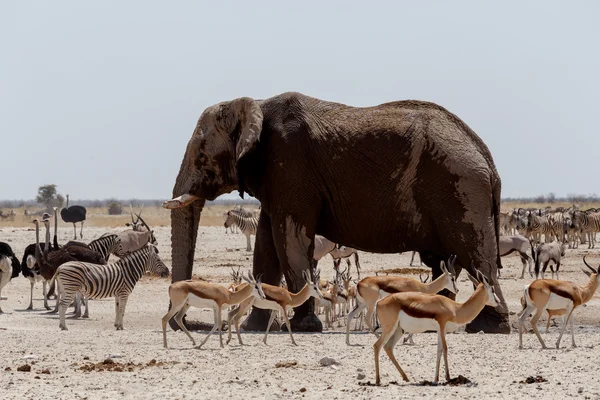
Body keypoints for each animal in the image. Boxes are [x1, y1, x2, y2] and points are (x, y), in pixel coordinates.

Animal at [165, 90, 510, 334]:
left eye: (200, 155)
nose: (185, 322)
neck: (255, 104)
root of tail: (488, 159)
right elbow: (266, 247)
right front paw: (256, 326)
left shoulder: (292, 167)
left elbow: (290, 239)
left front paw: (305, 326)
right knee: (443, 262)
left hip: (461, 190)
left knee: (476, 257)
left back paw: (487, 327)